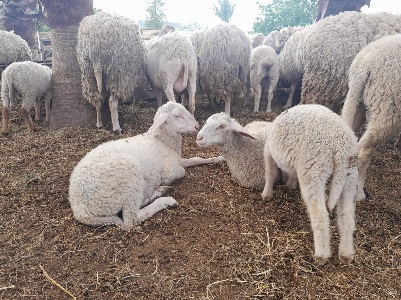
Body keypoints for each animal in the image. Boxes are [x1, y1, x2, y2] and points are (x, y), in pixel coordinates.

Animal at [68, 102, 222, 229]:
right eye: (177, 116)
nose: (197, 126)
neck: (161, 142)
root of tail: (80, 209)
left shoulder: (177, 160)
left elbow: (196, 159)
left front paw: (218, 158)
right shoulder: (170, 170)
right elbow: (182, 172)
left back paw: (159, 191)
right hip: (128, 181)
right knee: (131, 218)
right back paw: (165, 200)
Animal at [260, 105, 358, 264]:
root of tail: (341, 148)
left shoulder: (268, 150)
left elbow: (270, 173)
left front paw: (267, 194)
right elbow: (291, 174)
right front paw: (290, 185)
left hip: (314, 171)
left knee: (320, 214)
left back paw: (321, 255)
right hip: (350, 176)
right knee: (347, 214)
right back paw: (346, 254)